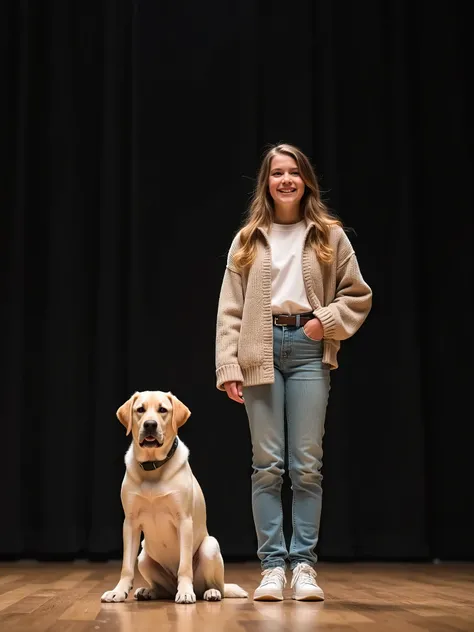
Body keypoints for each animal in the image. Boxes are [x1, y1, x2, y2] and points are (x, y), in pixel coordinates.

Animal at [100, 390, 248, 604]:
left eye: (163, 409)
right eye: (140, 410)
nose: (150, 425)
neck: (153, 467)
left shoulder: (184, 521)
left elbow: (184, 566)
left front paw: (185, 592)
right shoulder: (130, 523)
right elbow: (126, 566)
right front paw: (118, 592)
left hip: (210, 546)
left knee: (212, 585)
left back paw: (210, 592)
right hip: (143, 557)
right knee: (164, 589)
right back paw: (148, 591)